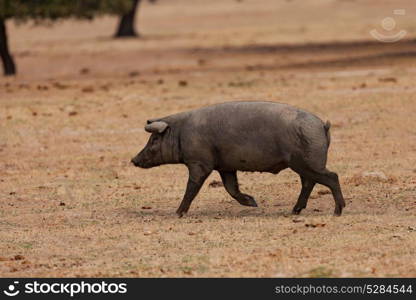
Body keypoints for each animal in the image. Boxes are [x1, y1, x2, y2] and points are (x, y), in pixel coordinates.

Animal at [132, 102, 346, 217]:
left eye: (154, 139)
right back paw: (294, 211)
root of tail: (322, 126)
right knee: (309, 183)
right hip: (304, 163)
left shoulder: (199, 163)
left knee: (331, 177)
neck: (180, 133)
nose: (133, 160)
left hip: (305, 162)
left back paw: (337, 211)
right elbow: (231, 188)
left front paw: (177, 213)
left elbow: (192, 187)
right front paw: (253, 203)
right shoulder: (225, 167)